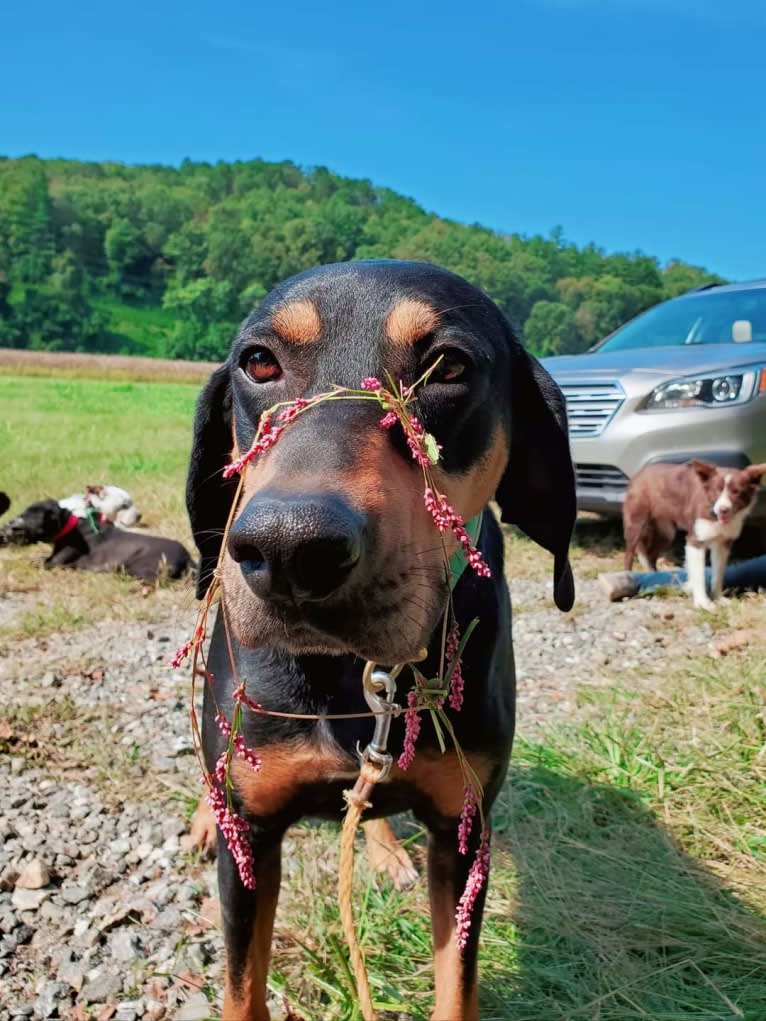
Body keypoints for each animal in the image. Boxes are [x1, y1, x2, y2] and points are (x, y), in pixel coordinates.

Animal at [0, 500, 192, 584]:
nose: (8, 525)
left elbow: (42, 562)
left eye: (26, 515)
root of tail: (187, 557)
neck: (69, 527)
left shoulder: (54, 562)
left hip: (138, 566)